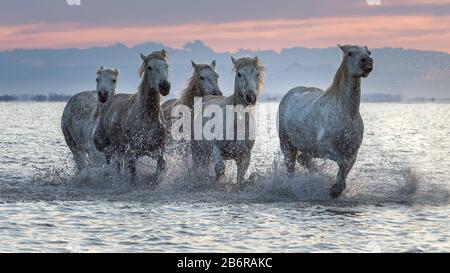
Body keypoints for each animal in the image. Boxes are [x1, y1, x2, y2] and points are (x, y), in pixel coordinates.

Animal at [94, 49, 171, 181]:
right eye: (149, 67)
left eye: (166, 66)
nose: (165, 86)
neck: (148, 117)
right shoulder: (131, 154)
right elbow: (133, 177)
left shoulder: (159, 152)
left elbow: (159, 170)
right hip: (105, 145)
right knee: (110, 158)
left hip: (120, 149)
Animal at [278, 44, 372, 198]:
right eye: (350, 53)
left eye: (368, 52)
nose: (367, 62)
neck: (345, 114)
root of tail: (290, 93)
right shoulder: (326, 148)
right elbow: (343, 163)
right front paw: (335, 189)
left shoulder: (353, 152)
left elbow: (345, 167)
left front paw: (336, 188)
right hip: (287, 145)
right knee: (291, 168)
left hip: (308, 148)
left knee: (303, 159)